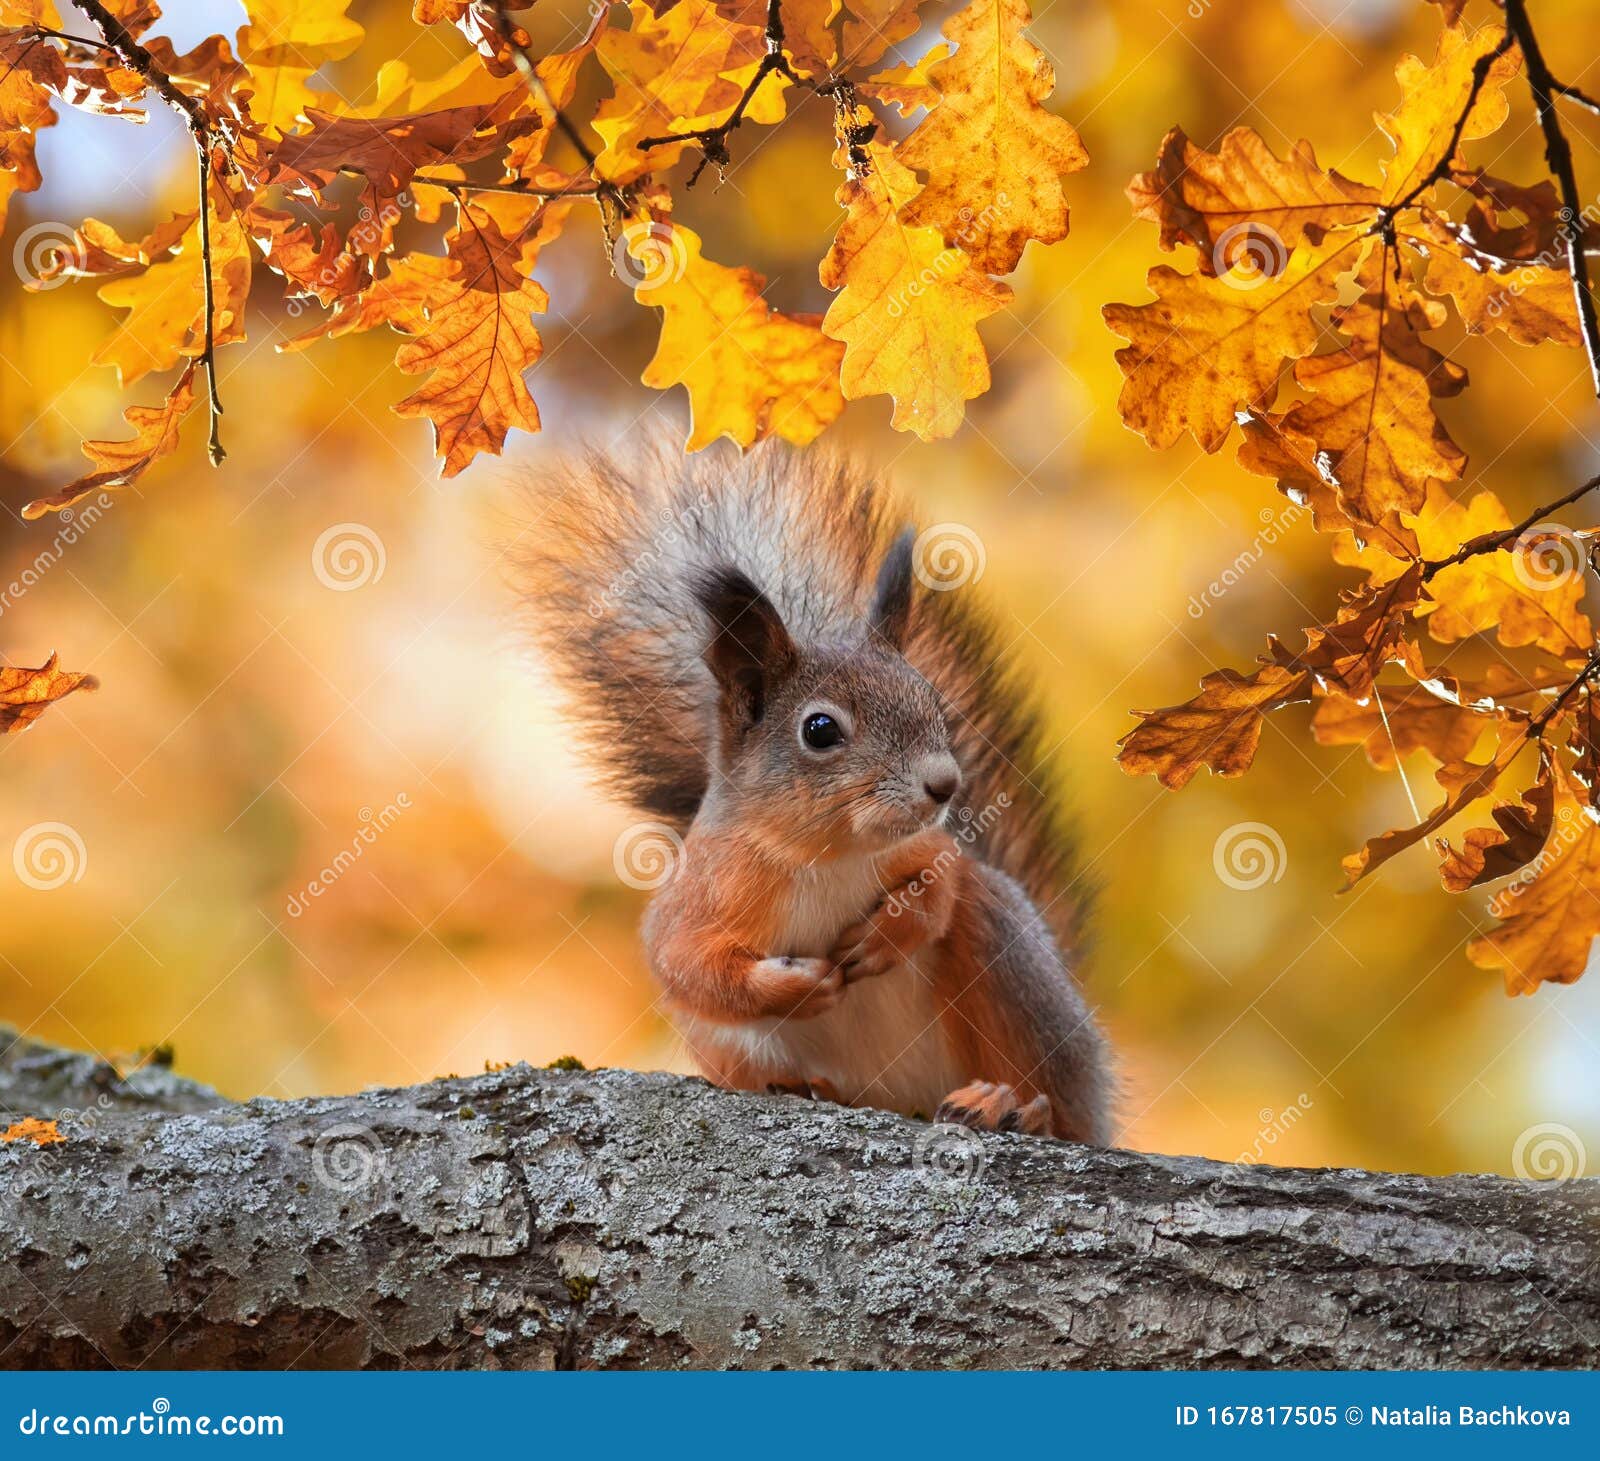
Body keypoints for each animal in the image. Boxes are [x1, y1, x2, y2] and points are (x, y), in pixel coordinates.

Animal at [521, 444, 1113, 1139]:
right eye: (820, 729)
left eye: (932, 701)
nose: (946, 785)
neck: (827, 857)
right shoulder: (697, 898)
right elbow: (689, 968)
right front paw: (797, 988)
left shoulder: (927, 847)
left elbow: (943, 877)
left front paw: (893, 928)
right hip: (729, 1047)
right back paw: (812, 1089)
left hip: (1010, 962)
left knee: (1054, 1094)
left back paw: (1014, 1106)